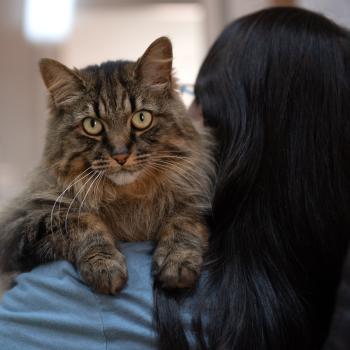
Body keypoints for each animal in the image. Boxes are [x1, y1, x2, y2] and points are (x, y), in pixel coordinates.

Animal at [0, 37, 213, 294]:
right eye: (92, 125)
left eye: (141, 118)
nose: (121, 156)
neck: (129, 197)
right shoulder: (18, 226)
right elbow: (80, 221)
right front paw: (105, 266)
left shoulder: (193, 202)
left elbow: (183, 222)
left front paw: (177, 261)